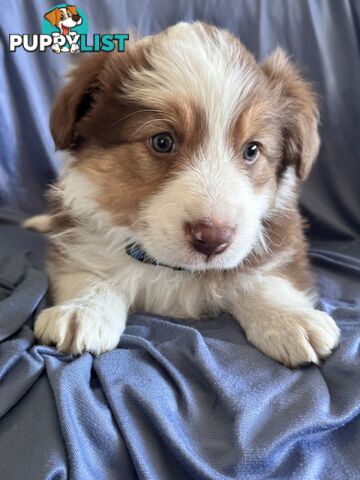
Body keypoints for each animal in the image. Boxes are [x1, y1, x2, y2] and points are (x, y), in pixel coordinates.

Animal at [26, 22, 340, 368]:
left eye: (252, 149)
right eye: (162, 141)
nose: (213, 238)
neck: (172, 269)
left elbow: (266, 278)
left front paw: (290, 318)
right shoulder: (78, 239)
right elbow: (88, 270)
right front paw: (83, 310)